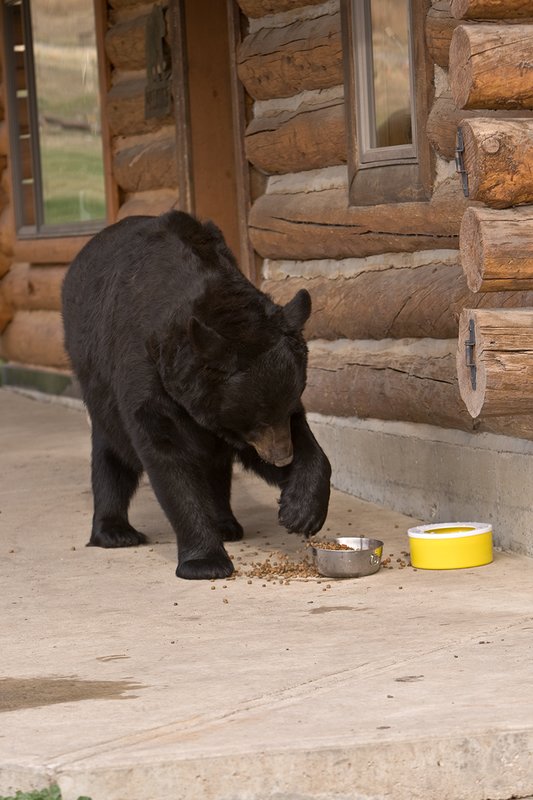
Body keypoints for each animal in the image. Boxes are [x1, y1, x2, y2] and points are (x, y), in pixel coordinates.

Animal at [62, 211, 331, 580]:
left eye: (288, 406)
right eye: (257, 417)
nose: (281, 458)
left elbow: (303, 442)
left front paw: (301, 509)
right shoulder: (149, 378)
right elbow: (168, 457)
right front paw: (205, 562)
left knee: (216, 466)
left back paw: (226, 524)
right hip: (98, 387)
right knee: (112, 454)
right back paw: (114, 531)